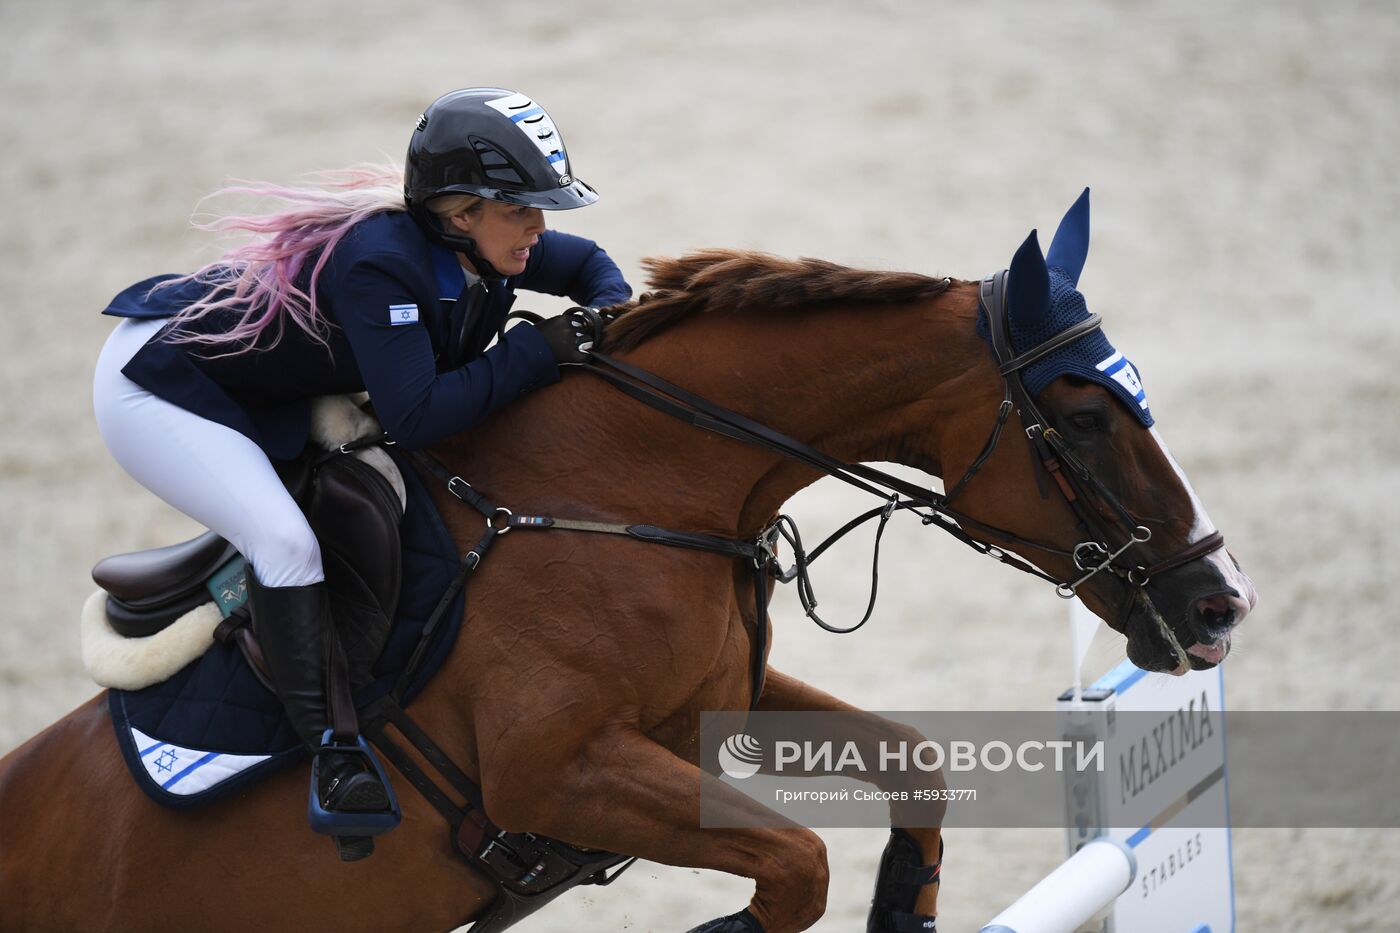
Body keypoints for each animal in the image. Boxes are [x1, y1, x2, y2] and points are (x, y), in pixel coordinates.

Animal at [0, 197, 1260, 930]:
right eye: (1082, 418)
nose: (1217, 604)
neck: (629, 489)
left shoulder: (705, 716)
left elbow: (911, 768)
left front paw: (904, 908)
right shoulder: (556, 773)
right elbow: (795, 866)